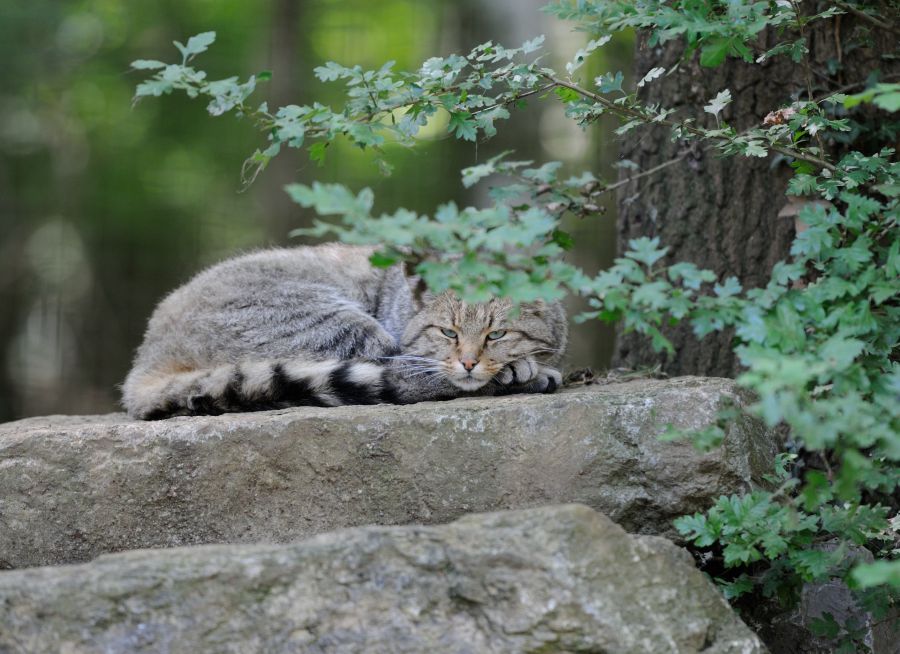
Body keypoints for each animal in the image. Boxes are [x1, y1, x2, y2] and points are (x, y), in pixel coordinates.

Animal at [122, 245, 568, 420]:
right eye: (448, 332)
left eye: (496, 334)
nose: (470, 361)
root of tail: (147, 356)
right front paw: (523, 371)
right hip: (329, 322)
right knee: (402, 379)